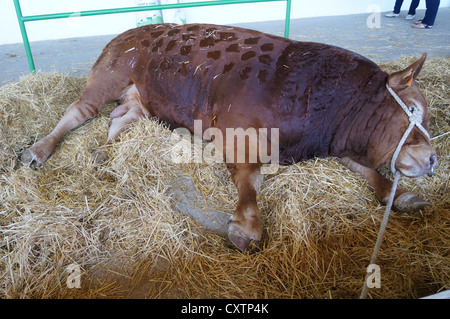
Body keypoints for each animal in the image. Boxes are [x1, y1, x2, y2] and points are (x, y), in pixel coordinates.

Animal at [21, 23, 436, 252]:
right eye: (415, 110)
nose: (433, 159)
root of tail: (130, 32)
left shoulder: (340, 142)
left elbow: (370, 171)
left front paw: (400, 194)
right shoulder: (236, 134)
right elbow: (250, 179)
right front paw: (247, 227)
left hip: (144, 100)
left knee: (119, 120)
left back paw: (104, 154)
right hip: (110, 75)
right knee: (78, 113)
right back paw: (38, 150)